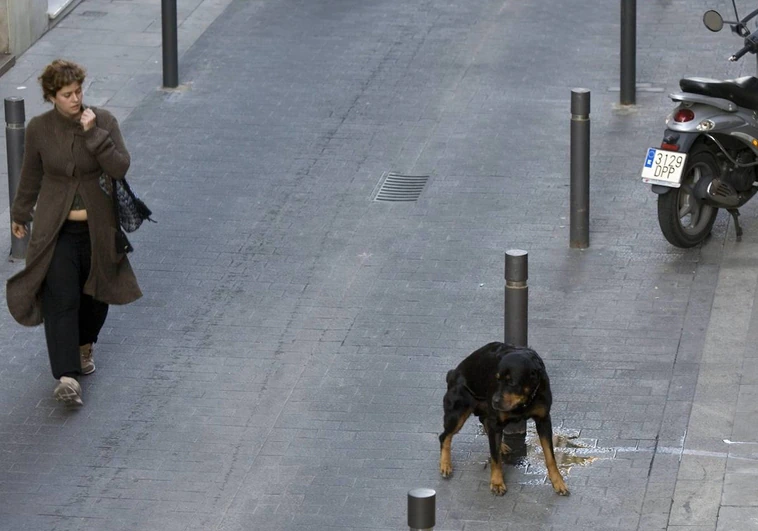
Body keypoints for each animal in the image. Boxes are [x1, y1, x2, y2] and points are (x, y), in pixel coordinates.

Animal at [440, 342, 568, 496]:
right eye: (497, 379)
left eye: (511, 382)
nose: (494, 401)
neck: (524, 401)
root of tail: (452, 373)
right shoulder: (495, 419)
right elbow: (495, 458)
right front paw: (497, 482)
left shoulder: (544, 420)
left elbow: (550, 455)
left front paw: (558, 481)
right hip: (458, 412)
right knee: (445, 436)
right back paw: (445, 465)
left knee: (485, 422)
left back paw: (500, 445)